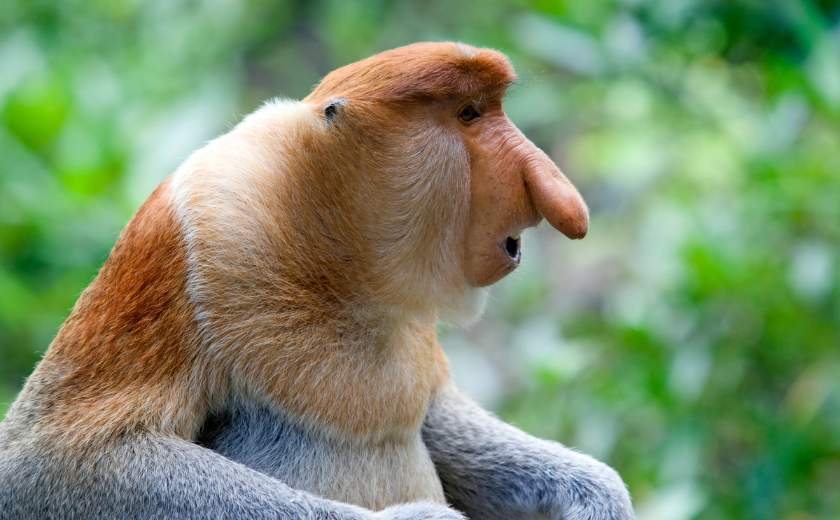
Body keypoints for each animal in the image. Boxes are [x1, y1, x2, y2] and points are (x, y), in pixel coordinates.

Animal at [0, 42, 633, 520]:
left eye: (487, 108)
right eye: (469, 114)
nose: (559, 197)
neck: (334, 250)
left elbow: (432, 414)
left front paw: (596, 495)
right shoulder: (189, 237)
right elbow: (49, 463)